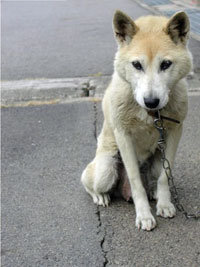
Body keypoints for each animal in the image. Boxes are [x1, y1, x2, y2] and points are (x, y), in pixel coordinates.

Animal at [81, 10, 192, 231]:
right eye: (137, 65)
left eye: (165, 64)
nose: (151, 101)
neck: (151, 114)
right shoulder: (123, 136)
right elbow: (136, 183)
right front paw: (144, 215)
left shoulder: (175, 132)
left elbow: (164, 178)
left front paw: (164, 204)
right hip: (106, 170)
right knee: (87, 181)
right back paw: (101, 197)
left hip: (157, 159)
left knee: (156, 177)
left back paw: (155, 193)